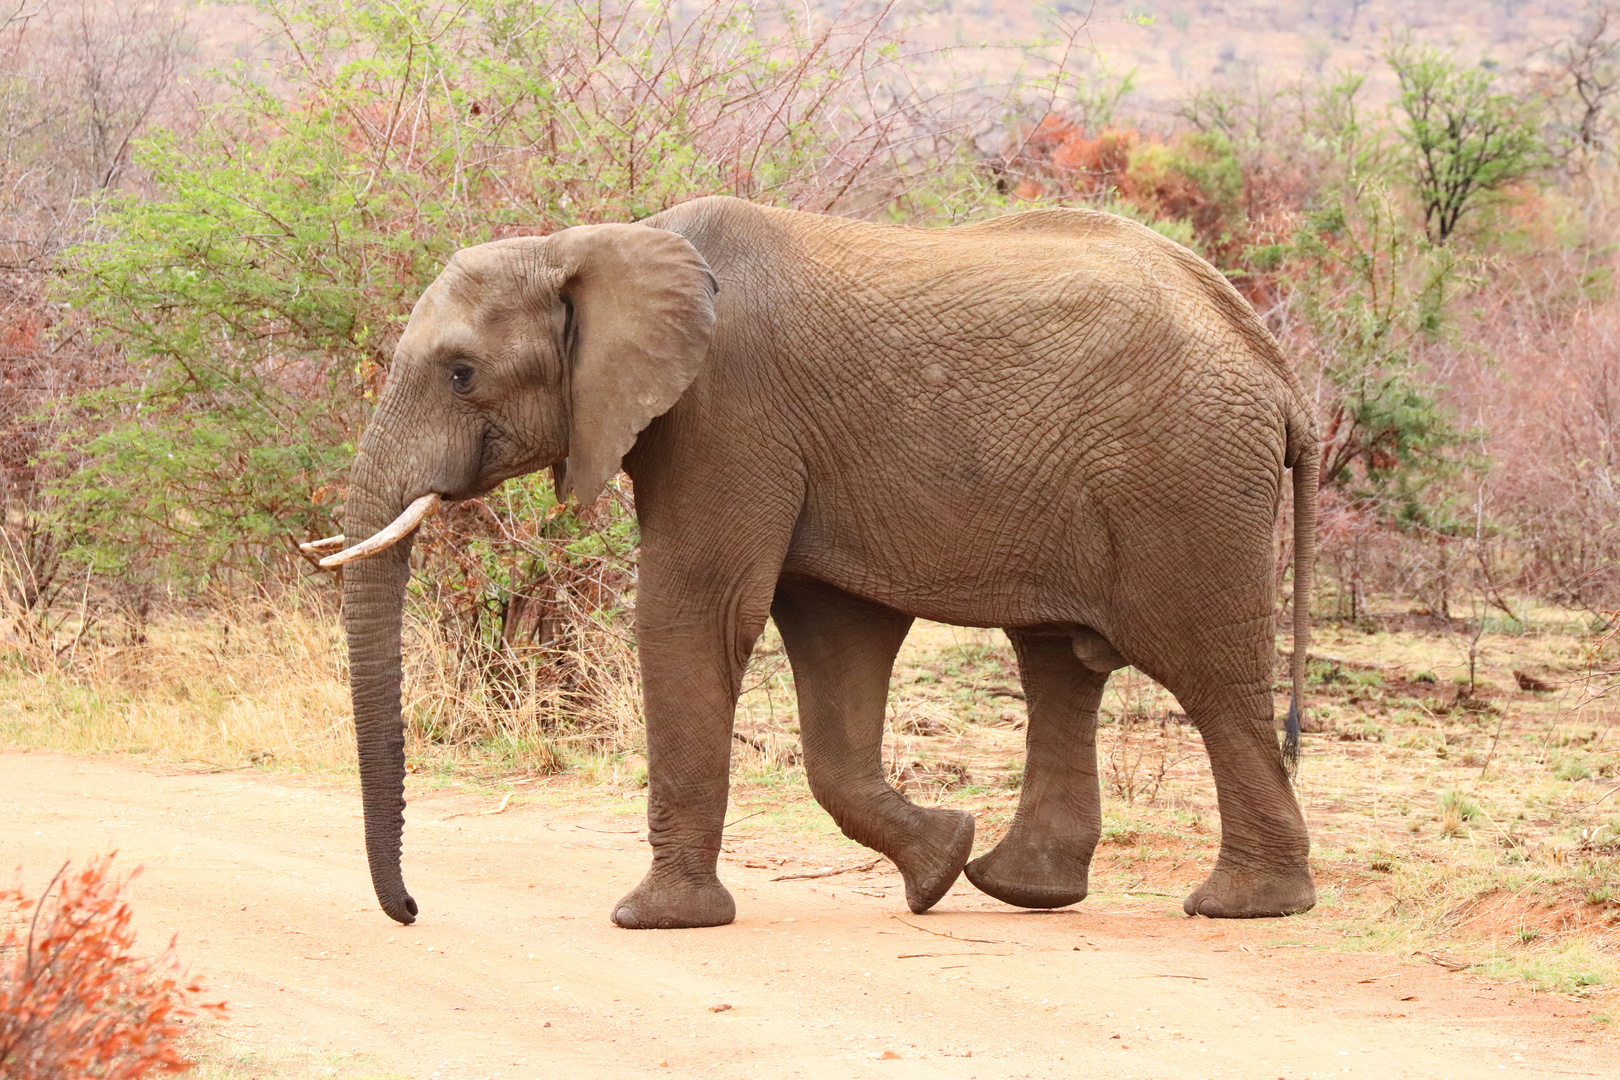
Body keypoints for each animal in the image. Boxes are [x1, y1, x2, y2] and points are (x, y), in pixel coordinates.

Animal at [309, 194, 1321, 932]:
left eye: (460, 374)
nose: (410, 912)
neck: (592, 244)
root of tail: (1276, 368)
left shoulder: (728, 412)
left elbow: (695, 613)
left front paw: (654, 920)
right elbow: (836, 639)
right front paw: (937, 865)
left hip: (1185, 482)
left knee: (1207, 670)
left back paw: (1242, 907)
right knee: (1059, 664)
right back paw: (1021, 889)